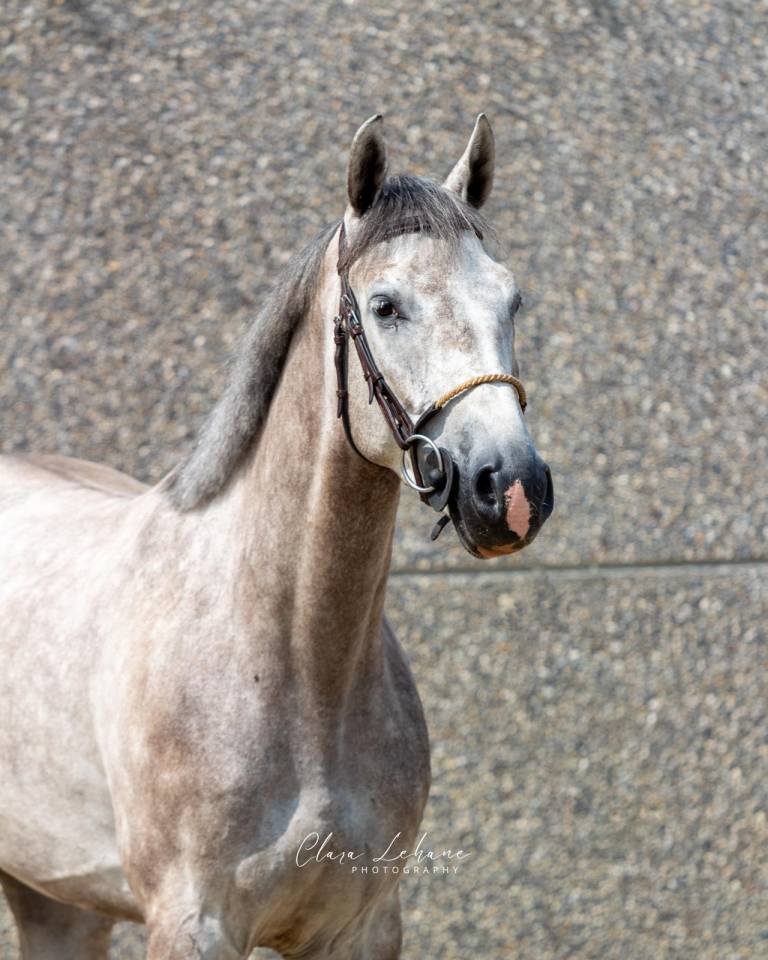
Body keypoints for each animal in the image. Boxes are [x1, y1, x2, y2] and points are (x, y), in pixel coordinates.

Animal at [0, 114, 553, 959]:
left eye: (511, 298)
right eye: (386, 306)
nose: (511, 490)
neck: (297, 670)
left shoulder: (362, 926)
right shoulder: (193, 925)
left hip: (58, 902)